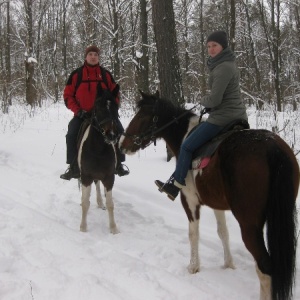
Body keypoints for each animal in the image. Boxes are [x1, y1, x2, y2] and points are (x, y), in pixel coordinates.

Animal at [78, 84, 120, 234]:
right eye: (99, 107)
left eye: (116, 108)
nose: (112, 135)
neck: (98, 150)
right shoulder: (85, 177)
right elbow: (85, 203)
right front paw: (83, 227)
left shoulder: (109, 177)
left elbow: (110, 203)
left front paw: (113, 228)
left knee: (97, 185)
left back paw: (100, 202)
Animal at [118, 91, 298, 300]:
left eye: (142, 116)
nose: (122, 144)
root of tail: (272, 148)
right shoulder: (216, 204)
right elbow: (223, 232)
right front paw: (228, 264)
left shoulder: (190, 201)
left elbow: (193, 234)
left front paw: (193, 266)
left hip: (249, 224)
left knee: (264, 267)